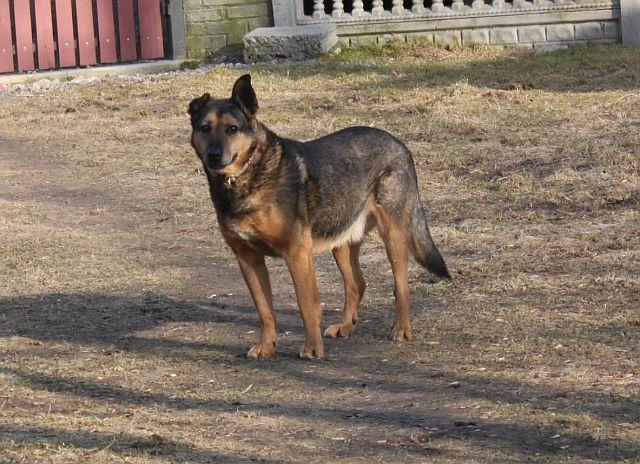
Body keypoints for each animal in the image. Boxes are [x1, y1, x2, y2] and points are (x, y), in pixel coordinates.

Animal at [188, 74, 450, 359]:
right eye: (205, 128)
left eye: (232, 129)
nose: (214, 155)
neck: (245, 178)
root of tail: (399, 144)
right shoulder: (248, 258)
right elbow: (264, 310)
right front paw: (266, 346)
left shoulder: (297, 253)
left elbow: (307, 305)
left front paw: (312, 348)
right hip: (342, 242)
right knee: (357, 283)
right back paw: (345, 326)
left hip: (393, 235)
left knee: (400, 285)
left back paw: (401, 329)